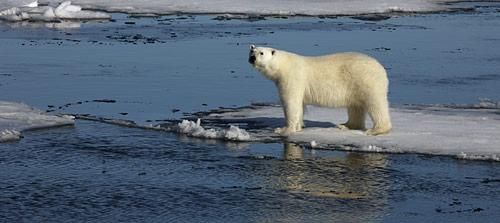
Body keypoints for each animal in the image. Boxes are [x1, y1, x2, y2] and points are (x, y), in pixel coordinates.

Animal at [248, 45, 392, 136]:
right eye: (252, 51)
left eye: (261, 53)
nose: (252, 58)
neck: (282, 66)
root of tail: (381, 68)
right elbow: (299, 106)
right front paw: (299, 127)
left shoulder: (292, 78)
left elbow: (291, 103)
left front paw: (283, 130)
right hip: (355, 85)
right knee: (355, 106)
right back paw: (346, 125)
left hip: (366, 80)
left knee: (375, 104)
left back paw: (376, 130)